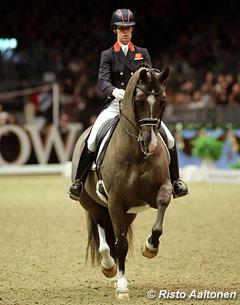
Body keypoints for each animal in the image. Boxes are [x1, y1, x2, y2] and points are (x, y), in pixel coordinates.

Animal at [71, 66, 172, 296]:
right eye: (139, 101)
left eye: (162, 101)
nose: (150, 144)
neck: (137, 153)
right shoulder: (116, 202)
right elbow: (120, 244)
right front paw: (122, 286)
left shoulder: (160, 190)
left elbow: (159, 220)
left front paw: (150, 247)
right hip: (93, 204)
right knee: (103, 233)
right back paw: (109, 266)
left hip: (130, 213)